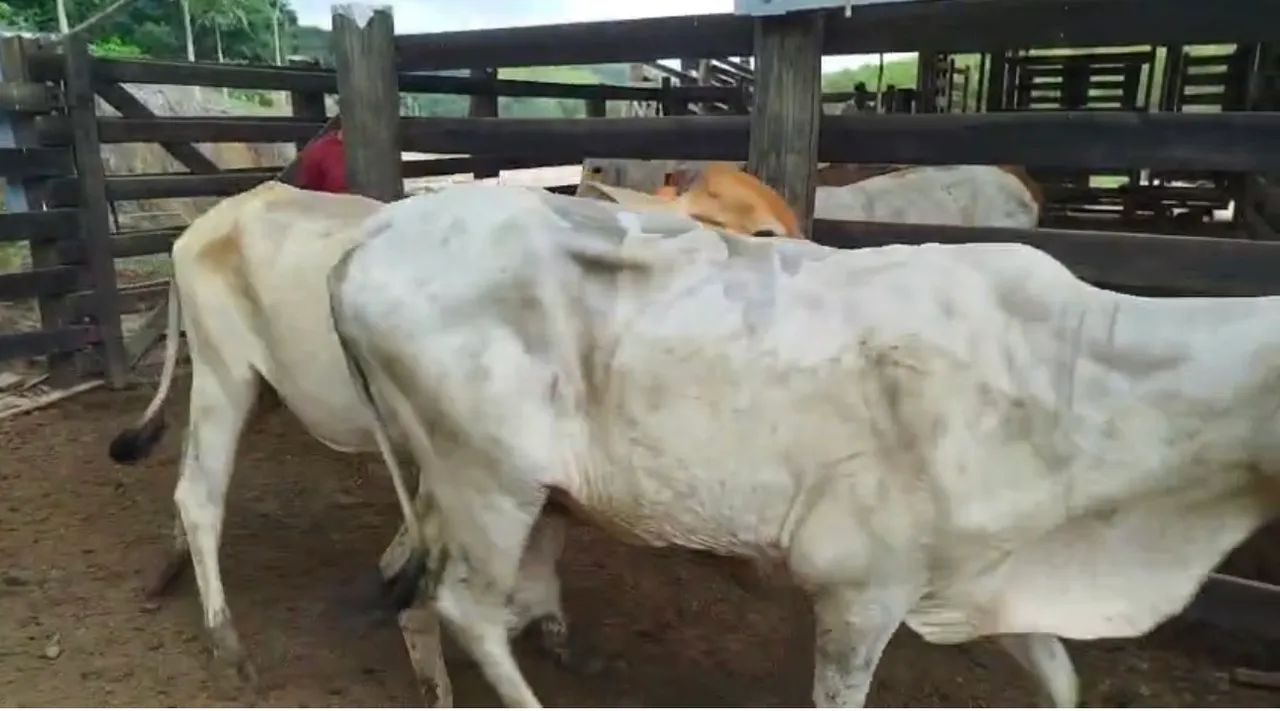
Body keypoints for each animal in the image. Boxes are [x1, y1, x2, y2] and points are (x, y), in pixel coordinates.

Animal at [105, 173, 801, 699]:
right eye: (762, 234)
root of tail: (214, 217)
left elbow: (540, 553)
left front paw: (555, 635)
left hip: (260, 390)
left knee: (187, 479)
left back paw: (167, 572)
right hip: (224, 376)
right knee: (201, 496)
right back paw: (228, 642)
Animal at [330, 186, 1225, 707]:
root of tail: (373, 236)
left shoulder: (992, 569)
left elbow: (1061, 677)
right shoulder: (865, 583)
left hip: (452, 476)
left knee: (418, 585)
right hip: (489, 475)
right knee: (464, 604)